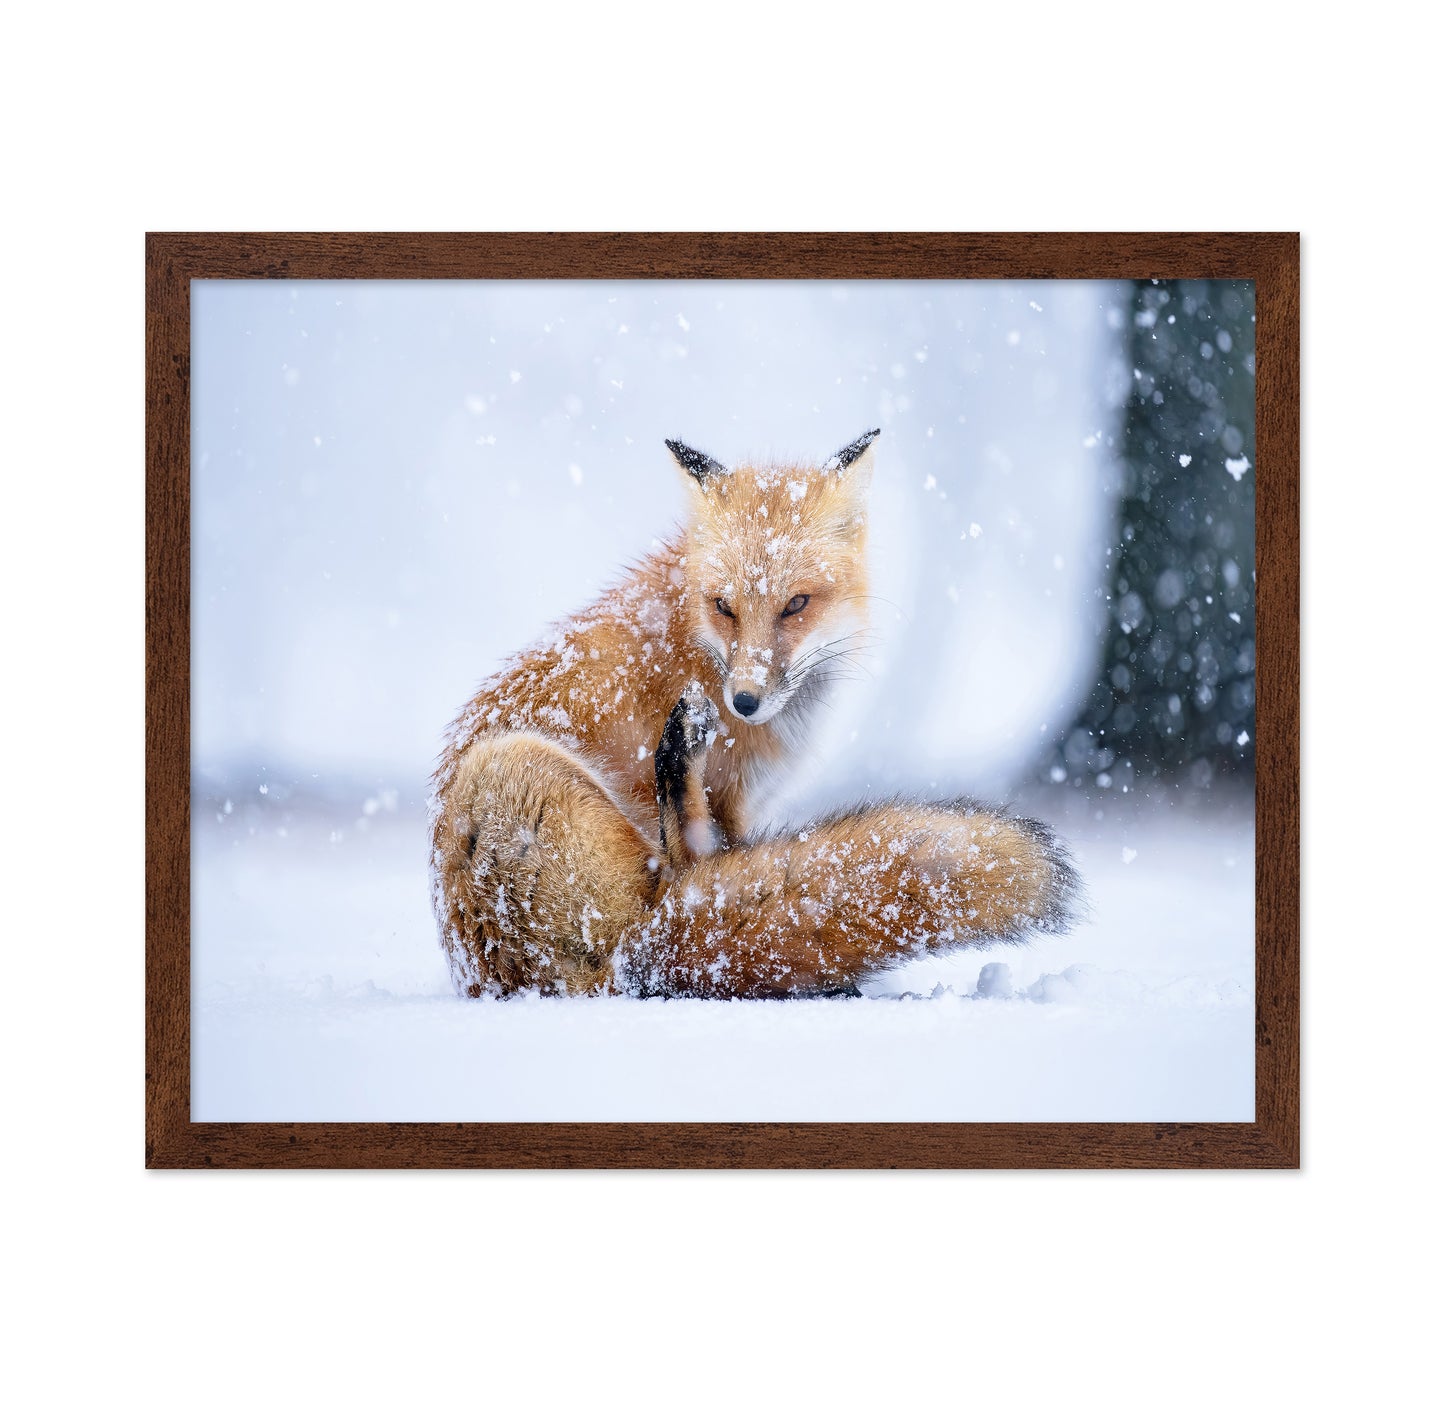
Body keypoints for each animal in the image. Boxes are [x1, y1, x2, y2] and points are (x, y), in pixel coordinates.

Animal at [429, 428, 1080, 998]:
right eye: (725, 607)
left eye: (795, 604)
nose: (743, 703)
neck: (695, 645)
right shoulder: (735, 801)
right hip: (510, 765)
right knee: (683, 878)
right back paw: (678, 757)